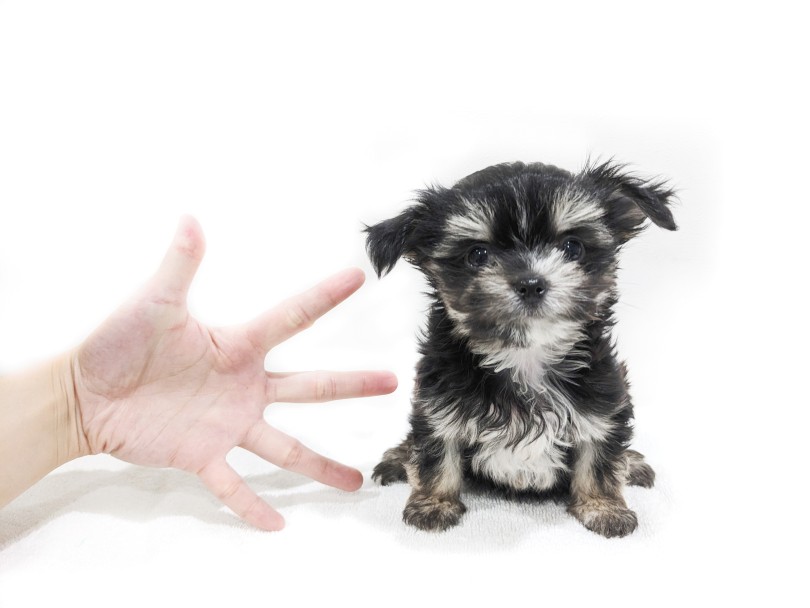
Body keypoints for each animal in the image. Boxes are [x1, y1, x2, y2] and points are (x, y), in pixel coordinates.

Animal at [366, 158, 676, 536]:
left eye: (572, 247)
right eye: (477, 255)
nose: (530, 283)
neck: (525, 354)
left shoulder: (605, 399)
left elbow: (600, 457)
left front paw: (603, 508)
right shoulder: (437, 403)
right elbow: (436, 452)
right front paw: (434, 504)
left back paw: (633, 463)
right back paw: (398, 458)